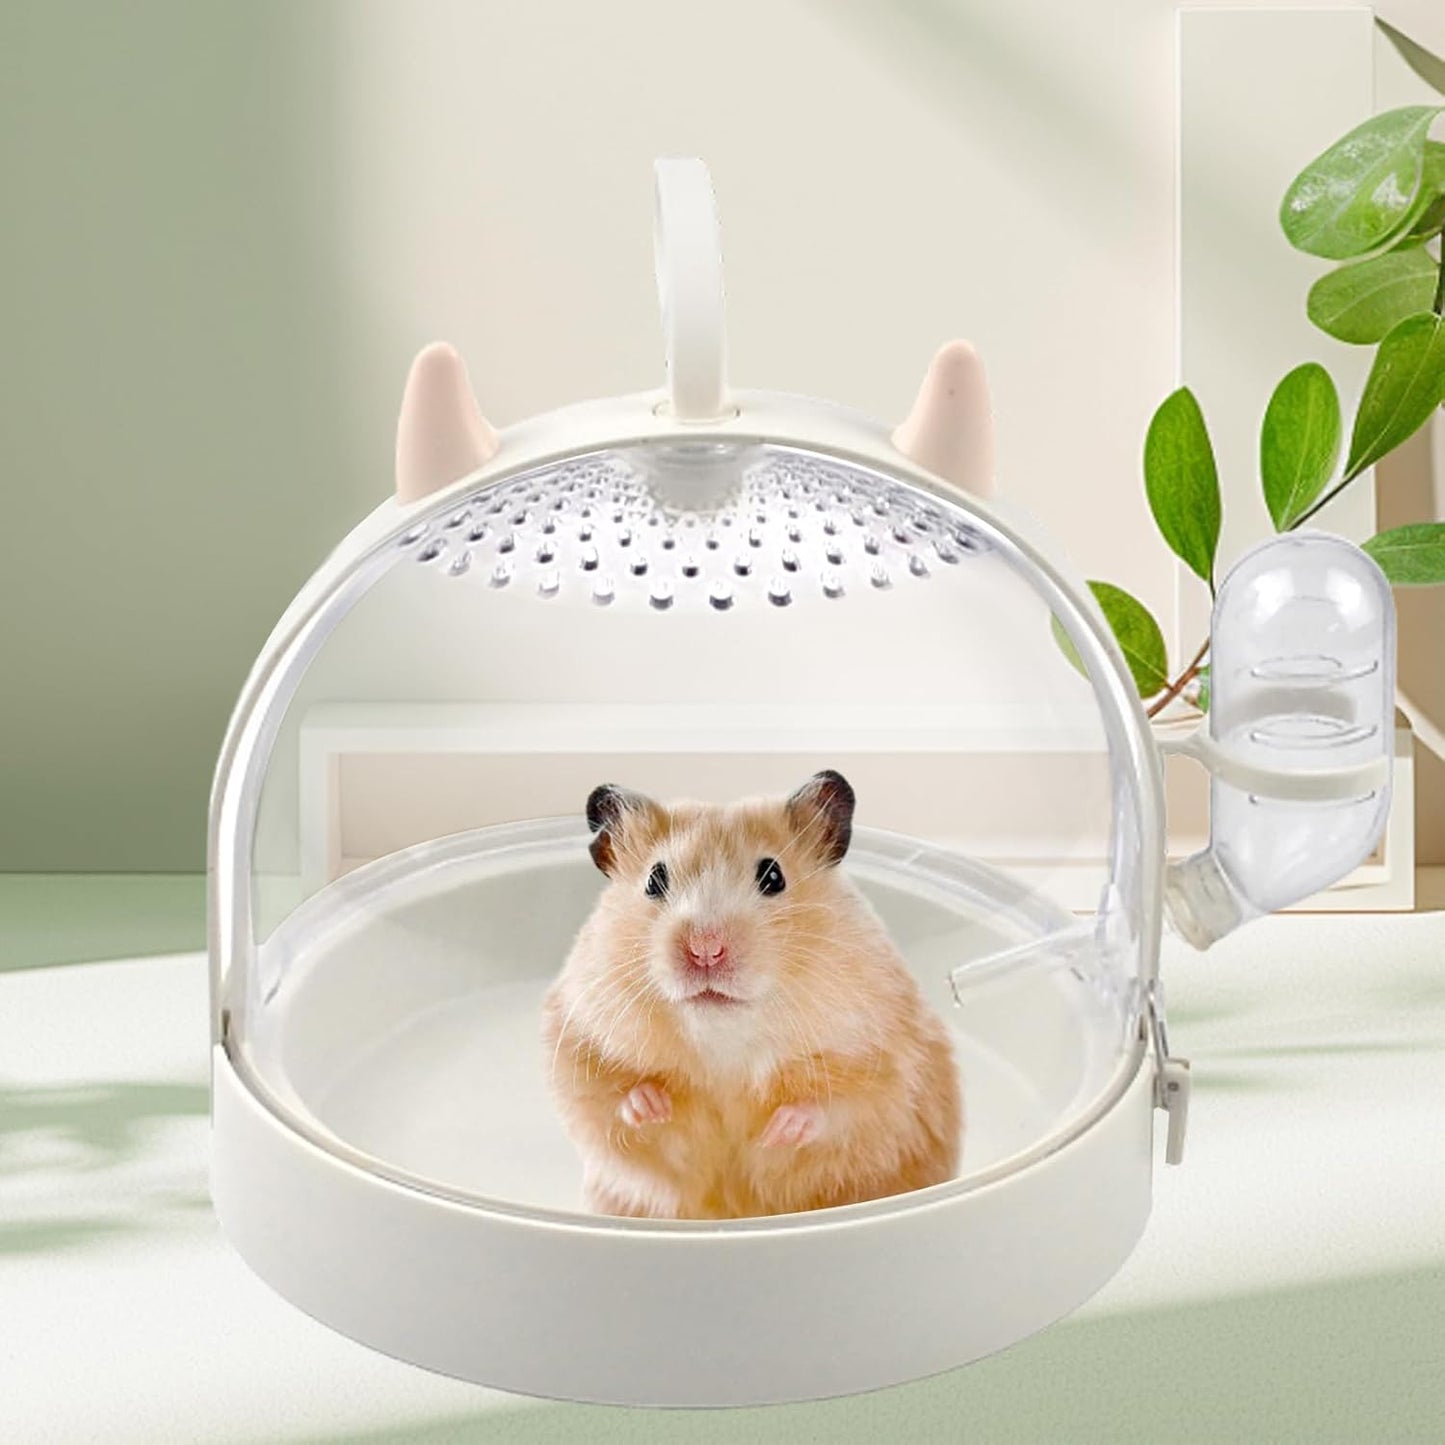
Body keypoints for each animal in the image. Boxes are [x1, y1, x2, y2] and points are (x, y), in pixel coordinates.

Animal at [541, 770, 962, 1220]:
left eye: (773, 876)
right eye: (654, 880)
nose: (705, 950)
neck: (724, 1041)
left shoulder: (887, 1059)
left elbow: (846, 1107)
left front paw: (778, 1131)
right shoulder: (575, 1035)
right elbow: (606, 1096)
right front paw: (652, 1106)